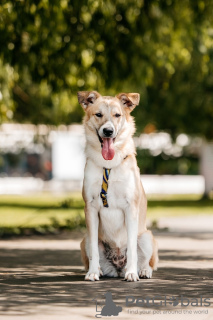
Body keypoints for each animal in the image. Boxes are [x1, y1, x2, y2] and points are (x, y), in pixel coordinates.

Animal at [78, 90, 158, 282]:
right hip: (84, 239)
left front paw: (132, 273)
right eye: (98, 114)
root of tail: (117, 267)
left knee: (148, 261)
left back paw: (142, 271)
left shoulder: (131, 207)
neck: (109, 166)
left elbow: (132, 247)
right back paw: (100, 270)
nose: (108, 131)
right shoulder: (90, 208)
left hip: (147, 237)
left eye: (117, 115)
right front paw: (93, 272)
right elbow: (94, 250)